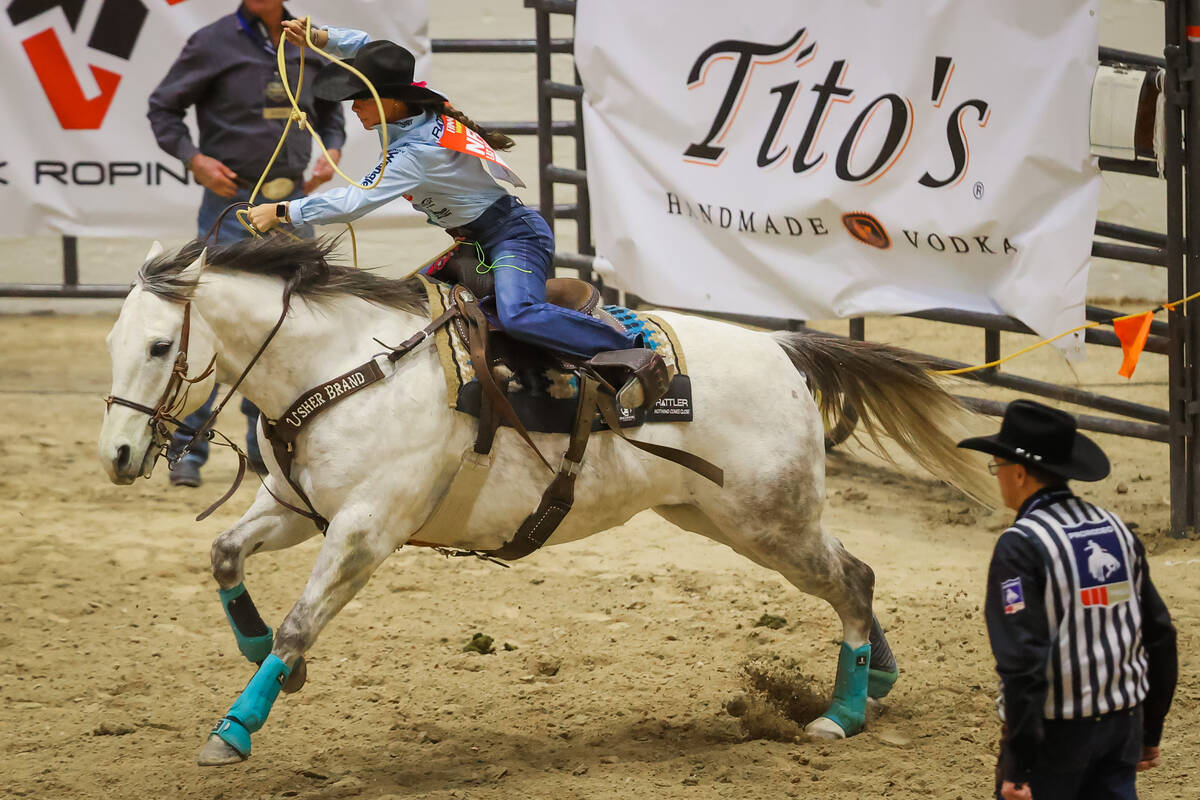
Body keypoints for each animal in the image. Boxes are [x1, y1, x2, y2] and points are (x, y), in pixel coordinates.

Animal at [98, 237, 988, 767]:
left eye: (159, 345)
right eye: (113, 341)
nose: (117, 456)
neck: (348, 364)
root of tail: (781, 347)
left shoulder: (365, 530)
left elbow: (299, 621)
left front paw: (235, 728)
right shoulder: (294, 508)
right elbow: (224, 556)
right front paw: (261, 659)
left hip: (770, 519)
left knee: (852, 580)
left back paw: (841, 714)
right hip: (724, 518)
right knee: (853, 578)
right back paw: (874, 680)